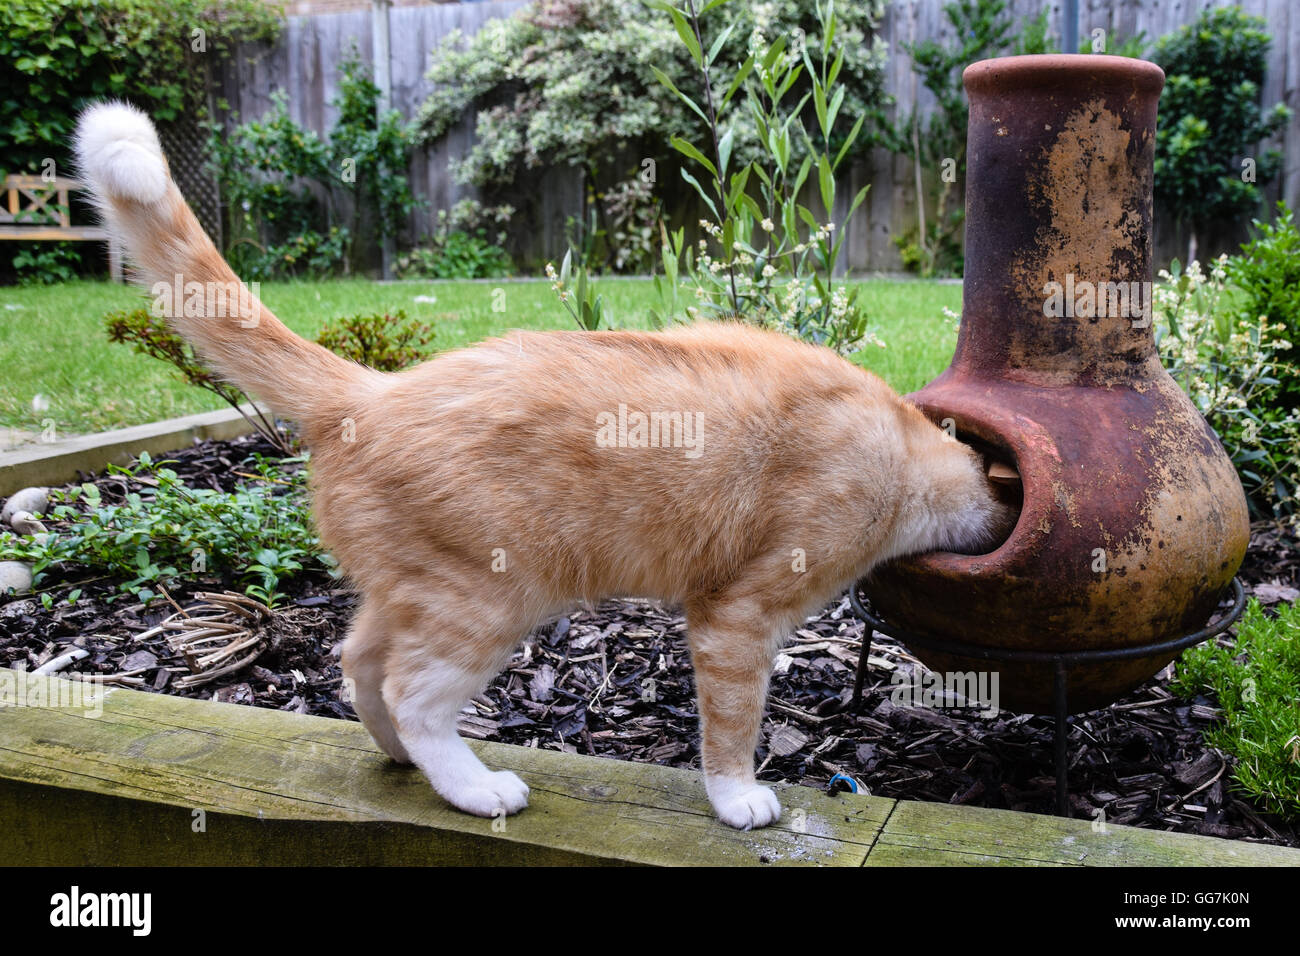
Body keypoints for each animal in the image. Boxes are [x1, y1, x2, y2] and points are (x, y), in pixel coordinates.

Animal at [76, 100, 1019, 827]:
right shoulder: (735, 619)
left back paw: (401, 760)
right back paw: (471, 786)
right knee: (414, 694)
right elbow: (731, 729)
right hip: (489, 597)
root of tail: (375, 388)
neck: (901, 449)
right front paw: (735, 798)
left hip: (414, 590)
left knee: (358, 665)